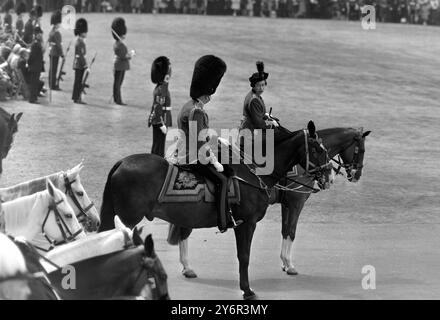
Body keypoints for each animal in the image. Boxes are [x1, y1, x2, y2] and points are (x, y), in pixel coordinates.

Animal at [99, 120, 330, 300]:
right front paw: (247, 290)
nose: (328, 176)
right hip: (128, 218)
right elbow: (244, 256)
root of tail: (122, 162)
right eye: (318, 150)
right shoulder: (247, 223)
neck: (253, 173)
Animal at [170, 127, 370, 278]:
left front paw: (284, 262)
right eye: (361, 151)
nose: (357, 175)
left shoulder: (287, 204)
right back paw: (187, 267)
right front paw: (289, 264)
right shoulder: (296, 203)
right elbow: (291, 231)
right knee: (184, 231)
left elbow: (285, 230)